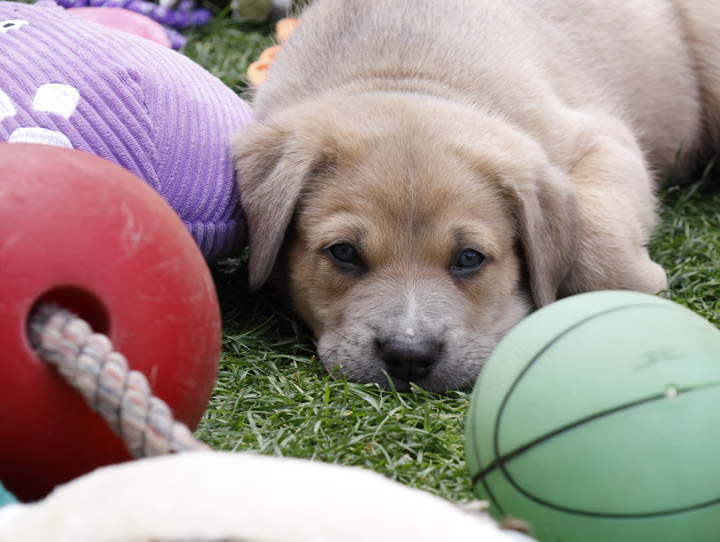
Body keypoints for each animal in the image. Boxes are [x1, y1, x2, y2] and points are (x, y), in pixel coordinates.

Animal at [235, 0, 720, 392]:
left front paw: (639, 290)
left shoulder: (602, 139)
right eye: (343, 253)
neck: (407, 74)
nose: (409, 358)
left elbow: (597, 245)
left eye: (469, 259)